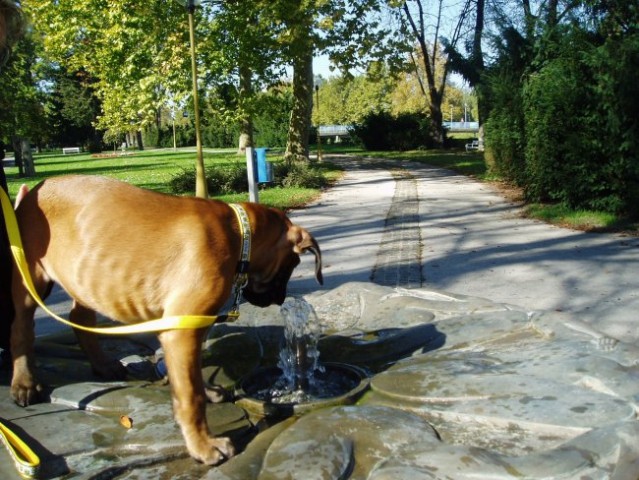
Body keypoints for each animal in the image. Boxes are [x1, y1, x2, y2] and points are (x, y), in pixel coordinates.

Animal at [7, 174, 322, 464]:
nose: (281, 299)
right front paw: (203, 446)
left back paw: (103, 365)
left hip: (83, 277)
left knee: (79, 318)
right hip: (29, 279)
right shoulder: (181, 331)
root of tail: (33, 191)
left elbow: (192, 375)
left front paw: (206, 392)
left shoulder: (189, 327)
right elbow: (190, 395)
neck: (239, 234)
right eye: (293, 264)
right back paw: (24, 383)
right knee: (22, 329)